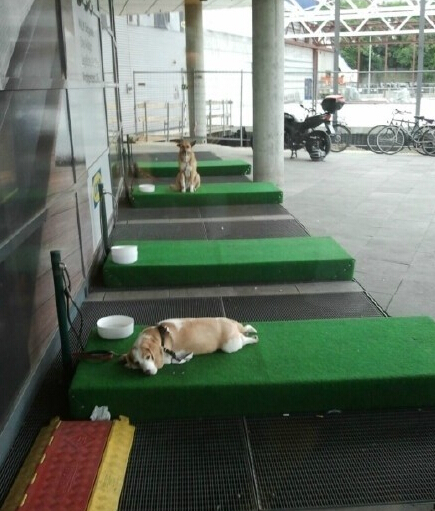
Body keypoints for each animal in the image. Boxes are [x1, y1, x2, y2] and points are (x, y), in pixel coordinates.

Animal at [120, 317, 258, 376]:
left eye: (149, 357)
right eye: (137, 363)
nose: (147, 372)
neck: (159, 334)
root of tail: (233, 326)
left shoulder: (167, 358)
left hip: (230, 345)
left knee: (245, 339)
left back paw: (253, 339)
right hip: (237, 329)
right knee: (246, 328)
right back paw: (251, 330)